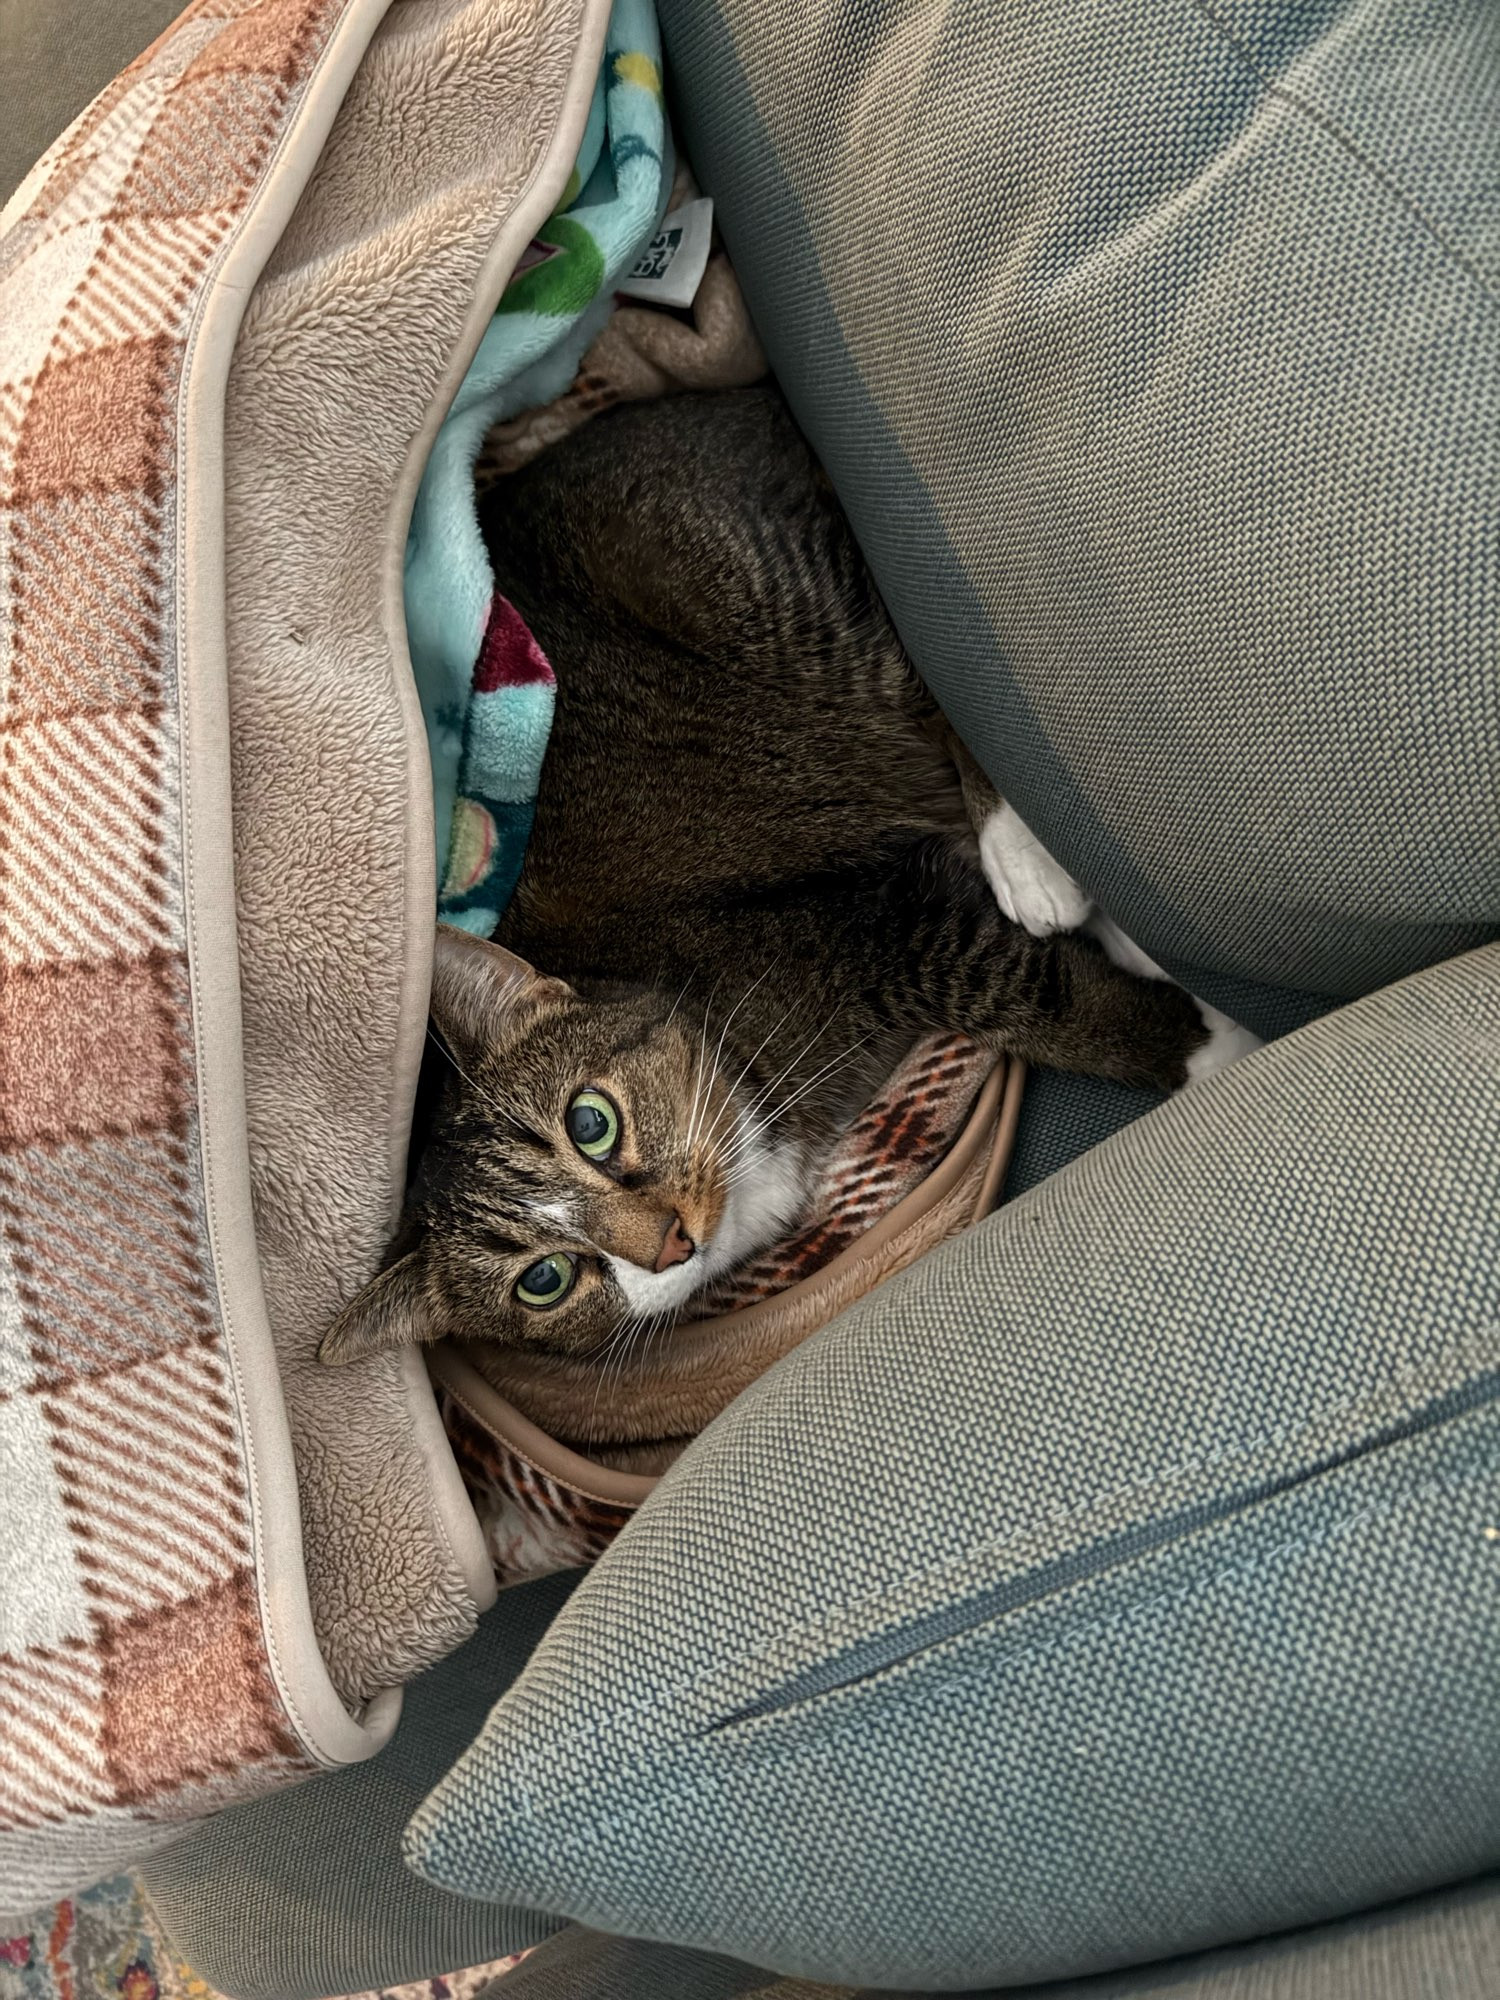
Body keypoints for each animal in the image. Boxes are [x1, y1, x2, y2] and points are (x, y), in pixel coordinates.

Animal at [324, 384, 1248, 1368]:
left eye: (590, 1123)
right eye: (545, 1280)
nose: (670, 1242)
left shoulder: (884, 923)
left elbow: (1059, 1003)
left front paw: (1230, 1048)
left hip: (768, 597)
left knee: (929, 668)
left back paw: (1022, 855)